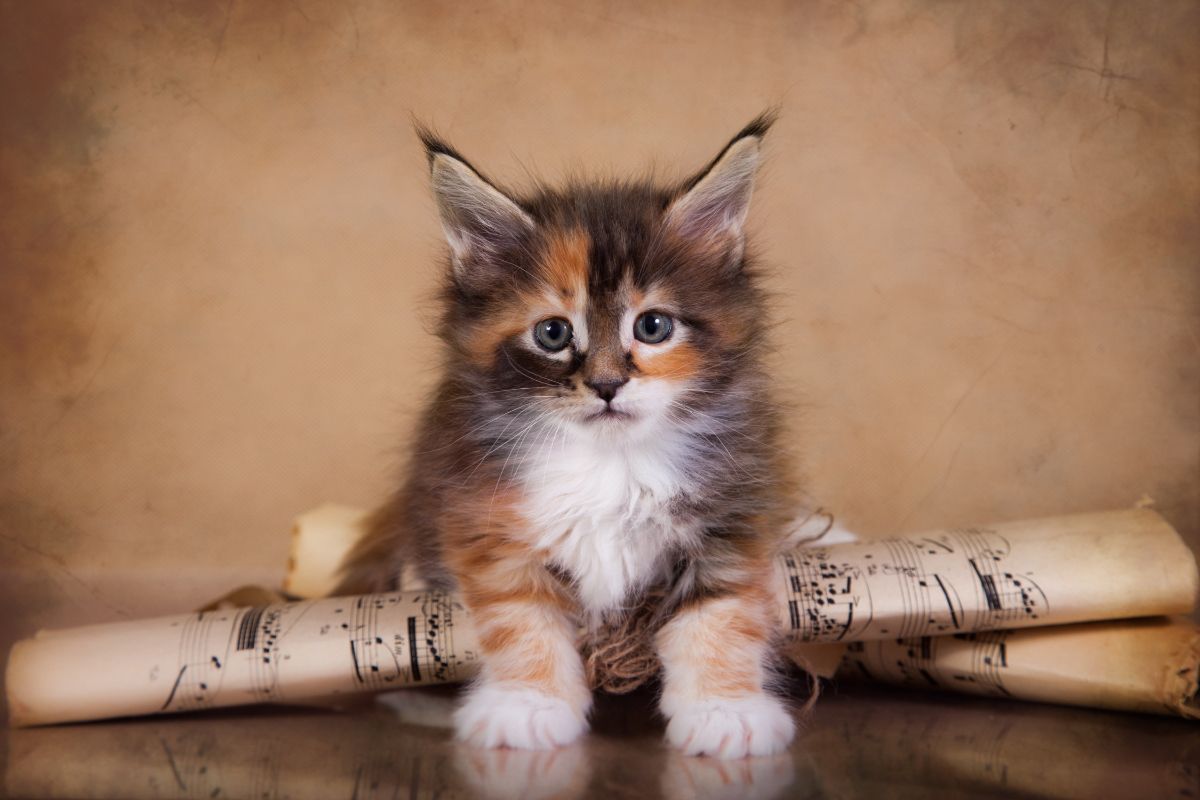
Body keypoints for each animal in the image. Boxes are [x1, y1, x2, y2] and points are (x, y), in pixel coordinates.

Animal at [340, 112, 796, 758]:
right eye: (553, 334)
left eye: (653, 326)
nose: (606, 385)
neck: (611, 463)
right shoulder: (484, 520)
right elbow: (522, 619)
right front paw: (528, 705)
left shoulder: (734, 512)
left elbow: (721, 615)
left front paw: (725, 710)